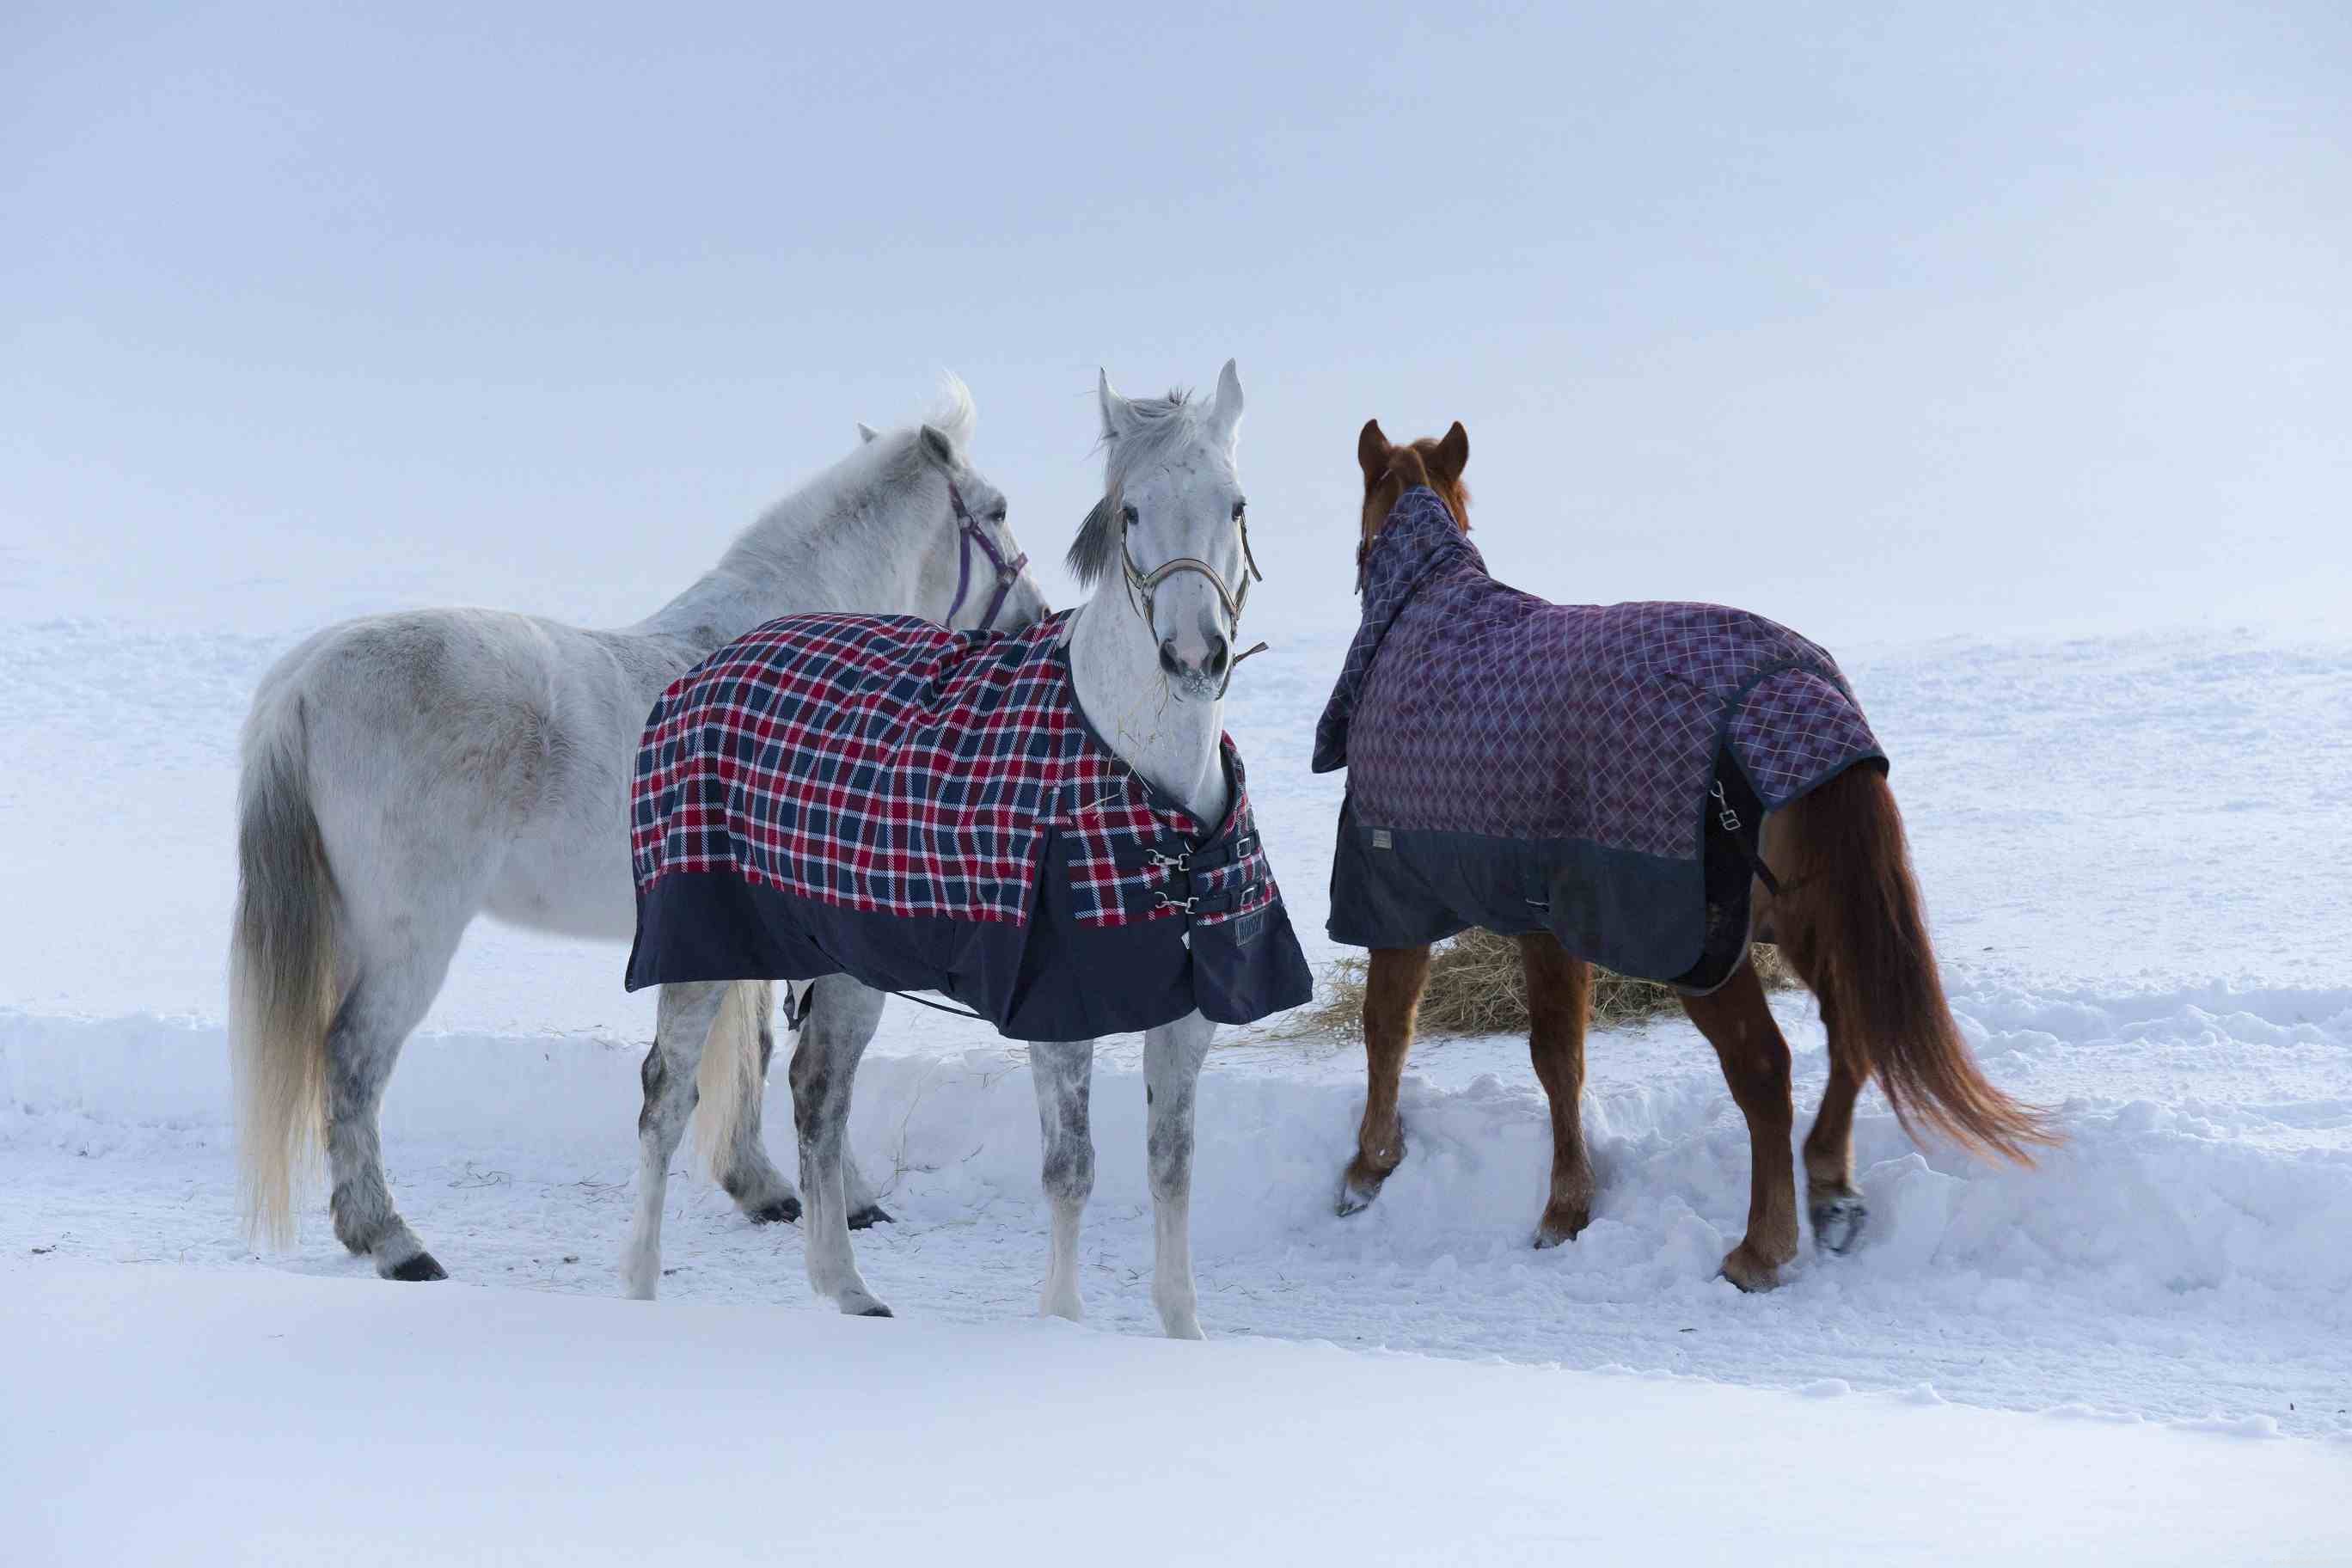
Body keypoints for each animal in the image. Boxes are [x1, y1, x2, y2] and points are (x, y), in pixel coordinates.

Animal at [229, 380, 1048, 1282]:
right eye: (999, 510)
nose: (1035, 620)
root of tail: (301, 683)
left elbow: (753, 1050)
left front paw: (764, 1189)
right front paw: (842, 1198)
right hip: (409, 938)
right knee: (353, 1061)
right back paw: (395, 1242)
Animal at [621, 361, 1313, 1336]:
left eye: (1237, 504)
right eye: (1131, 511)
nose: (1192, 658)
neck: (1141, 786)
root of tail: (702, 672)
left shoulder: (1189, 1012)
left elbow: (1171, 1166)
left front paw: (1183, 1331)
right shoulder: (1059, 1011)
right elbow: (1072, 1168)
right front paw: (1062, 1320)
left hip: (845, 963)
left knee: (817, 1098)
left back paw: (847, 1289)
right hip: (702, 951)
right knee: (667, 1096)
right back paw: (639, 1289)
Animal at [1319, 420, 2055, 1292]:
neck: (1424, 614)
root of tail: (1797, 692)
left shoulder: (1398, 897)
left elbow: (1395, 1029)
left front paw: (1373, 1169)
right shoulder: (1550, 918)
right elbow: (1558, 1056)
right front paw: (1566, 1201)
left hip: (1703, 951)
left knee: (1765, 1070)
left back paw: (1761, 1247)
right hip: (1805, 920)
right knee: (1850, 1026)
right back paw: (1829, 1186)